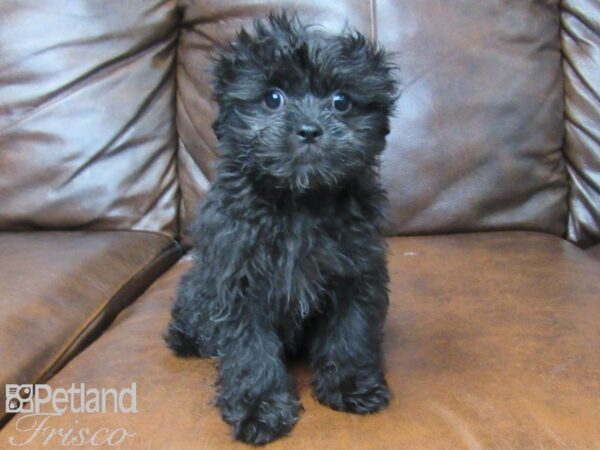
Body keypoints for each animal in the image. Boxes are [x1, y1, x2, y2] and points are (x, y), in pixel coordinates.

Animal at [164, 12, 398, 444]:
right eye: (273, 98)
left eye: (341, 101)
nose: (308, 129)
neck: (299, 201)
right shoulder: (238, 283)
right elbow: (250, 353)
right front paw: (259, 410)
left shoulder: (356, 273)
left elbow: (350, 334)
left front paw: (351, 387)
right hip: (197, 286)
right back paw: (188, 338)